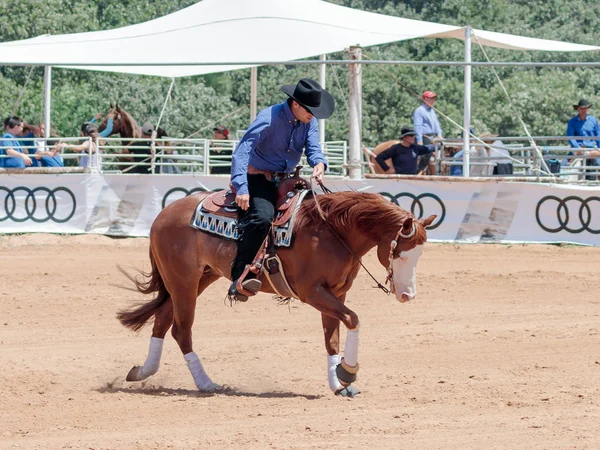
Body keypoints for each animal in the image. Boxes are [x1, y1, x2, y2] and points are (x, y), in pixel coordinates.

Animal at [117, 190, 436, 398]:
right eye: (401, 254)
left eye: (420, 254)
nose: (408, 295)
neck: (333, 231)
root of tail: (163, 214)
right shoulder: (312, 291)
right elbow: (353, 320)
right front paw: (347, 371)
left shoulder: (336, 293)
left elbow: (332, 337)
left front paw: (339, 383)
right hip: (183, 281)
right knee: (181, 330)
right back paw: (207, 384)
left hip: (197, 279)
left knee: (161, 320)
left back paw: (142, 371)